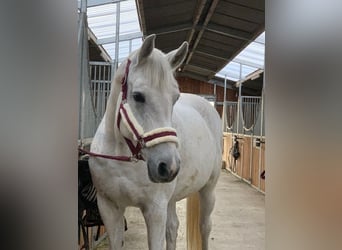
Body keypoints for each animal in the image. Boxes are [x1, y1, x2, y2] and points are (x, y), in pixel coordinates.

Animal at [88, 33, 222, 250]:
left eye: (175, 98)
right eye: (138, 96)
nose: (169, 166)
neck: (122, 157)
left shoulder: (155, 210)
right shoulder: (109, 207)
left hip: (208, 189)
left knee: (205, 226)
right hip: (172, 198)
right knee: (173, 227)